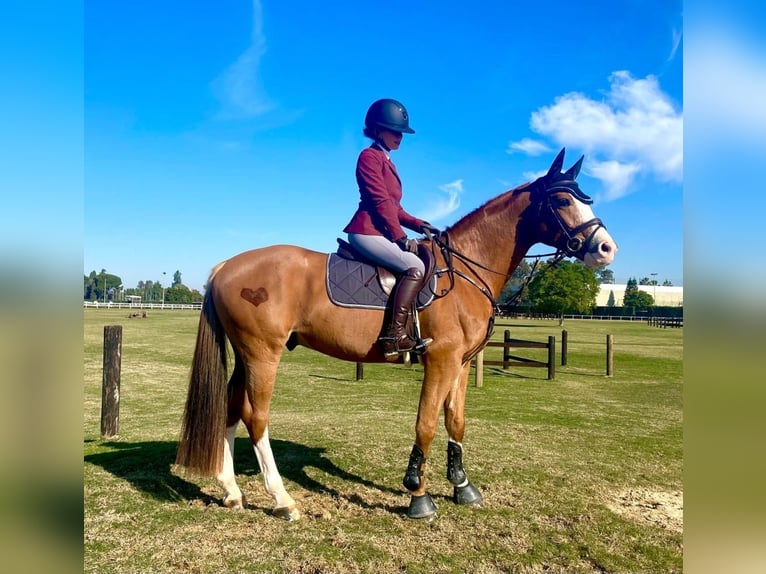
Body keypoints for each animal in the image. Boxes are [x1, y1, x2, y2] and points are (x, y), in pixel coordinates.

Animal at [174, 148, 616, 520]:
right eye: (563, 201)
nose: (606, 248)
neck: (465, 271)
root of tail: (226, 265)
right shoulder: (440, 360)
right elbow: (427, 423)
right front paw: (418, 495)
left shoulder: (462, 363)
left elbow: (456, 421)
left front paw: (462, 486)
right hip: (264, 353)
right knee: (256, 416)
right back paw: (282, 500)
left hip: (246, 354)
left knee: (231, 408)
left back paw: (232, 492)